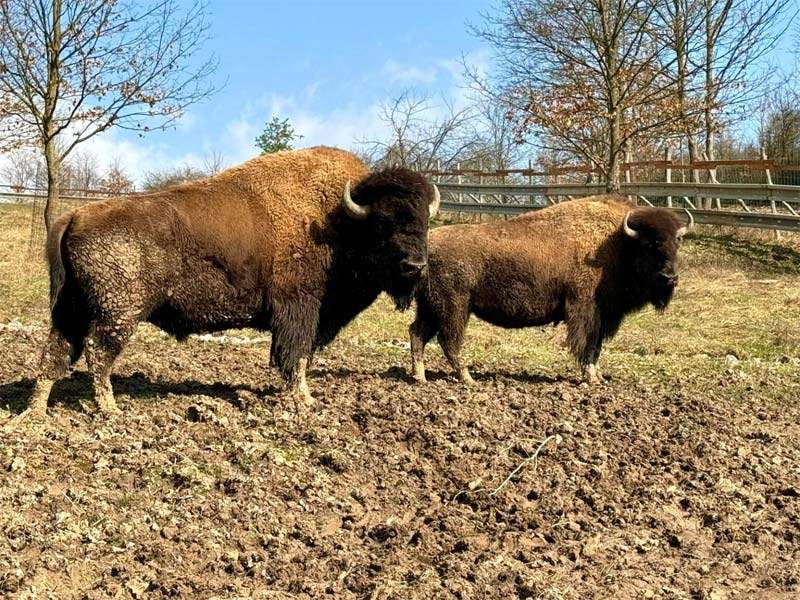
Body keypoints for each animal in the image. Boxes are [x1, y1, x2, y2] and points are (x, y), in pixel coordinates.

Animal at [26, 146, 438, 418]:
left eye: (423, 222)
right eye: (382, 224)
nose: (415, 266)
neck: (336, 219)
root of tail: (75, 215)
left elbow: (293, 356)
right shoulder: (300, 308)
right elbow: (296, 355)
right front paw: (304, 401)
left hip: (72, 309)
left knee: (56, 352)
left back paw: (34, 414)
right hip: (118, 313)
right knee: (97, 353)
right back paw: (110, 411)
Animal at [410, 197, 692, 384]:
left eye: (677, 242)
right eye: (649, 244)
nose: (669, 277)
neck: (617, 243)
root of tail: (429, 246)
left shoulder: (604, 316)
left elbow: (597, 347)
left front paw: (599, 376)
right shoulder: (586, 310)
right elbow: (588, 345)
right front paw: (591, 378)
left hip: (431, 307)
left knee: (417, 333)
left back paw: (420, 377)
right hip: (455, 307)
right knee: (449, 340)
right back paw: (467, 378)